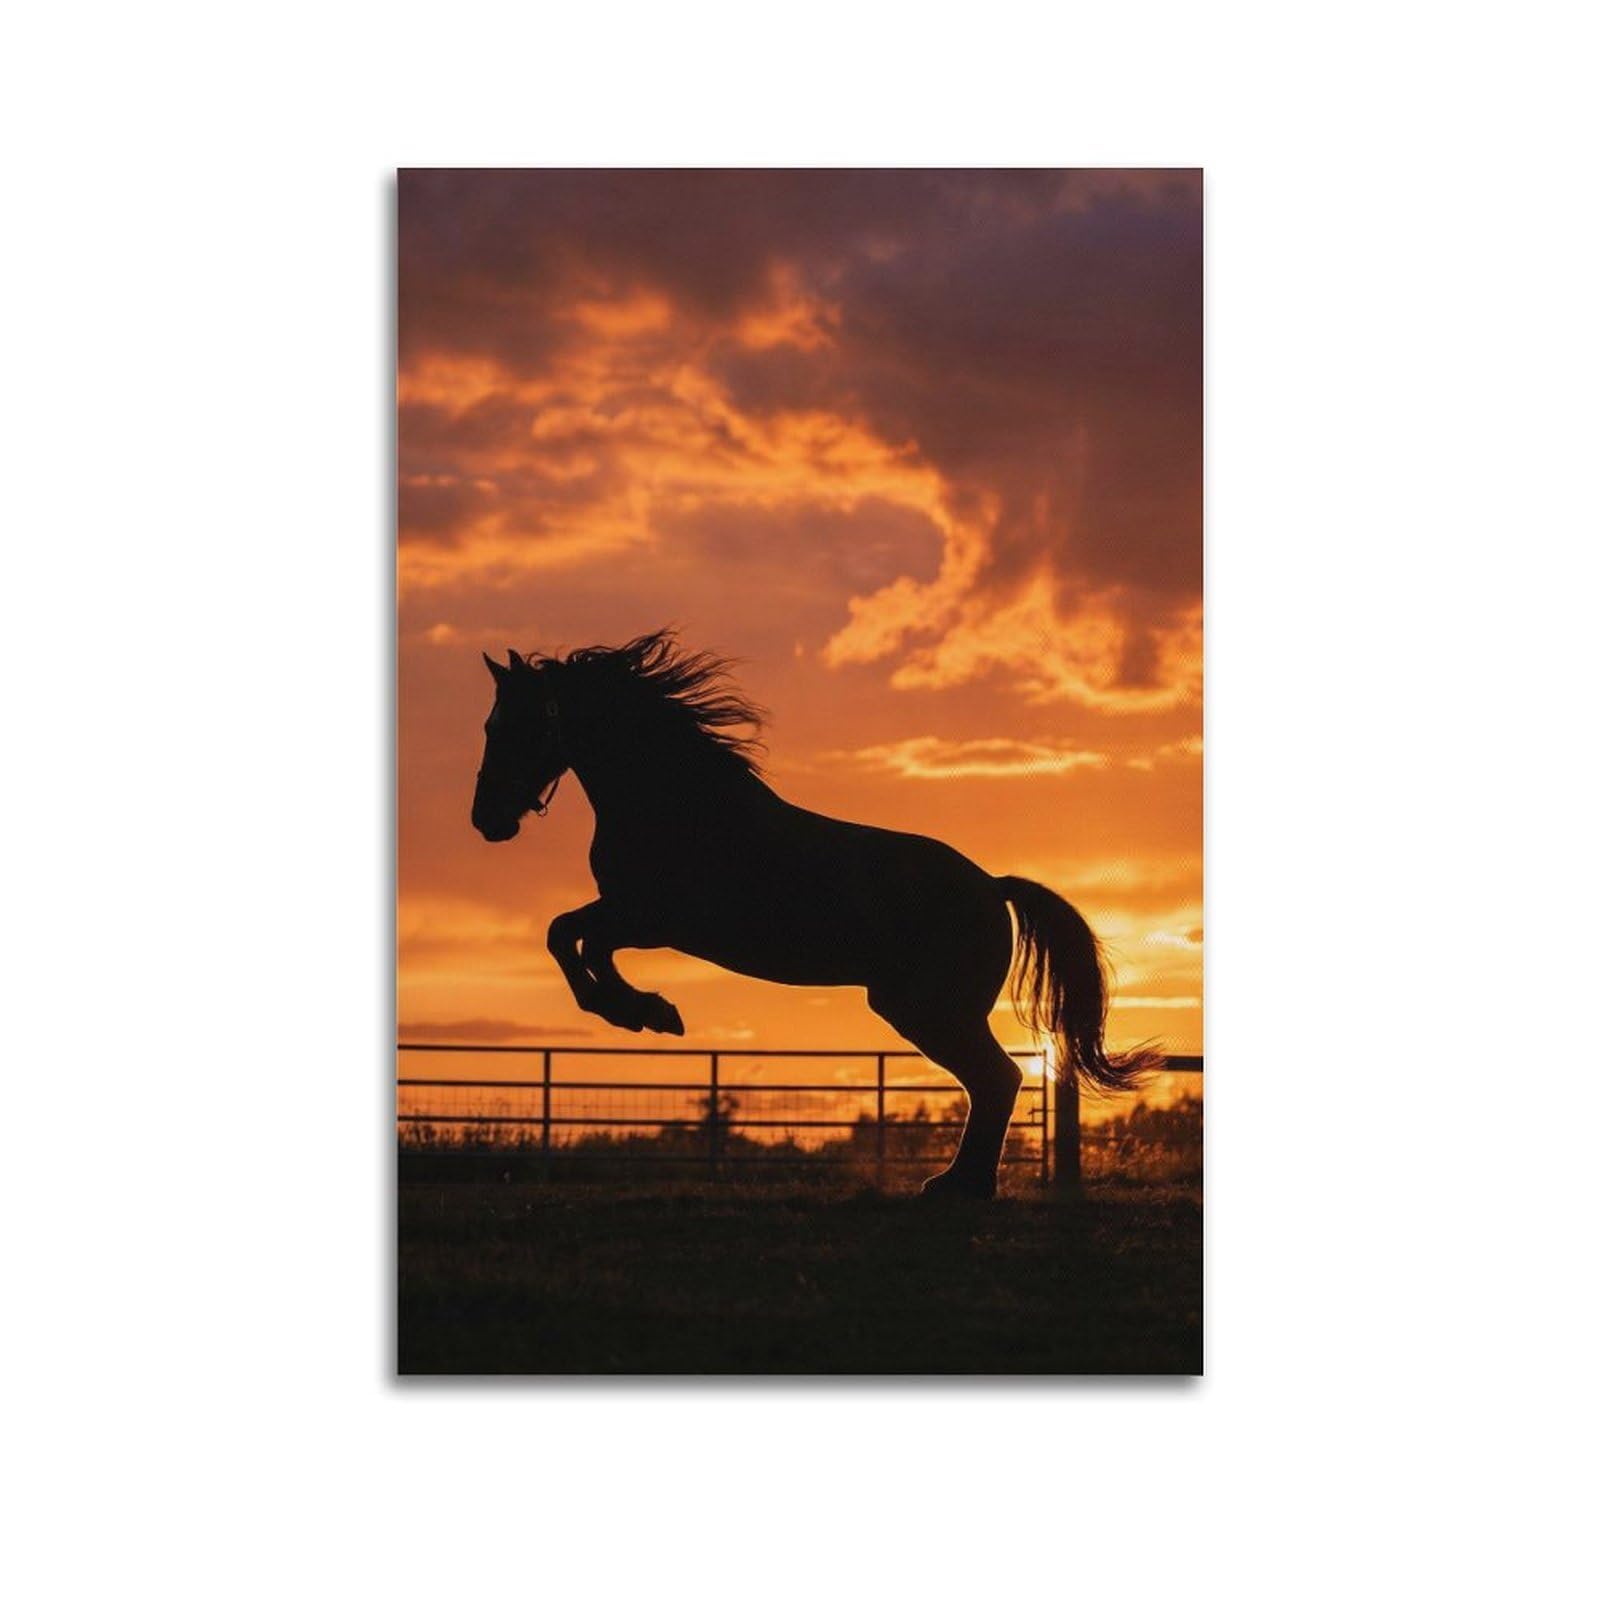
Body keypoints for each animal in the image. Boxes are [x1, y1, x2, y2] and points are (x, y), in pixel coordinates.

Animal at [470, 630, 1160, 1198]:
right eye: (491, 725)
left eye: (514, 727)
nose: (486, 820)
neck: (679, 803)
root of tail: (992, 888)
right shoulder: (630, 914)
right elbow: (567, 935)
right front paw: (644, 1012)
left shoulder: (652, 919)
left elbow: (575, 939)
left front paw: (645, 1012)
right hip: (925, 1009)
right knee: (995, 1080)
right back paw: (958, 1183)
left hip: (927, 1009)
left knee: (997, 1078)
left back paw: (958, 1188)